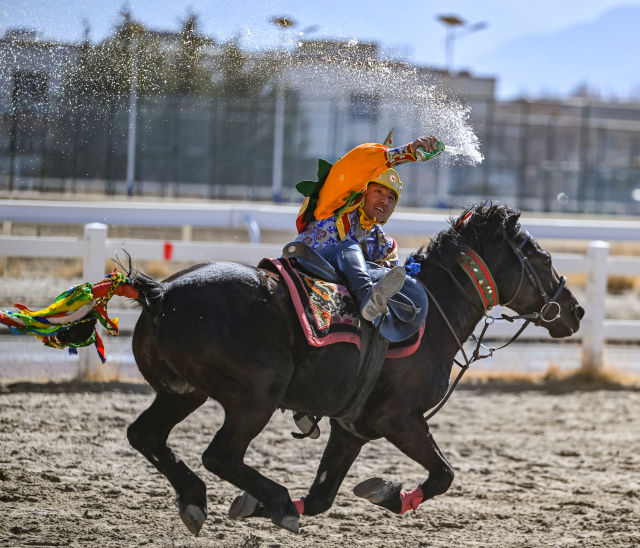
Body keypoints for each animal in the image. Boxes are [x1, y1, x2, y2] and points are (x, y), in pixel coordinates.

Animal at [104, 202, 583, 535]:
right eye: (542, 259)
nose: (575, 311)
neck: (433, 313)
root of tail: (161, 293)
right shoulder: (399, 419)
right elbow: (444, 474)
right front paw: (390, 494)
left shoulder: (351, 428)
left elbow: (322, 497)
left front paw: (259, 506)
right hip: (254, 397)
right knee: (219, 454)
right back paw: (272, 500)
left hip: (183, 392)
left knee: (146, 435)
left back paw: (196, 499)